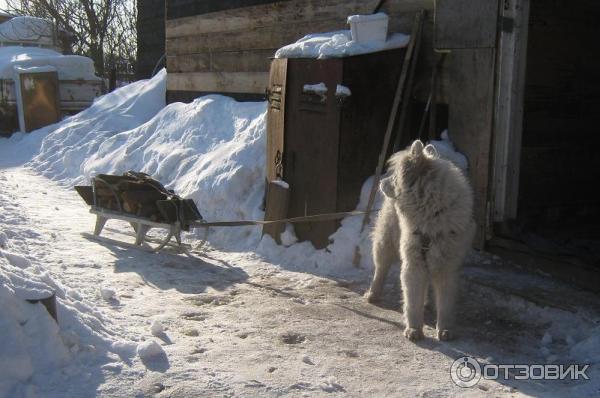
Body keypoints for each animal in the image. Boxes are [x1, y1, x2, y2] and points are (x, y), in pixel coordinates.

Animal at [366, 138, 474, 340]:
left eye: (394, 176)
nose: (381, 182)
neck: (432, 213)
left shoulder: (448, 266)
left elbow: (445, 303)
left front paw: (445, 330)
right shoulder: (414, 262)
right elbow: (412, 301)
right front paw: (414, 330)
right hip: (387, 240)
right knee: (381, 268)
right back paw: (373, 294)